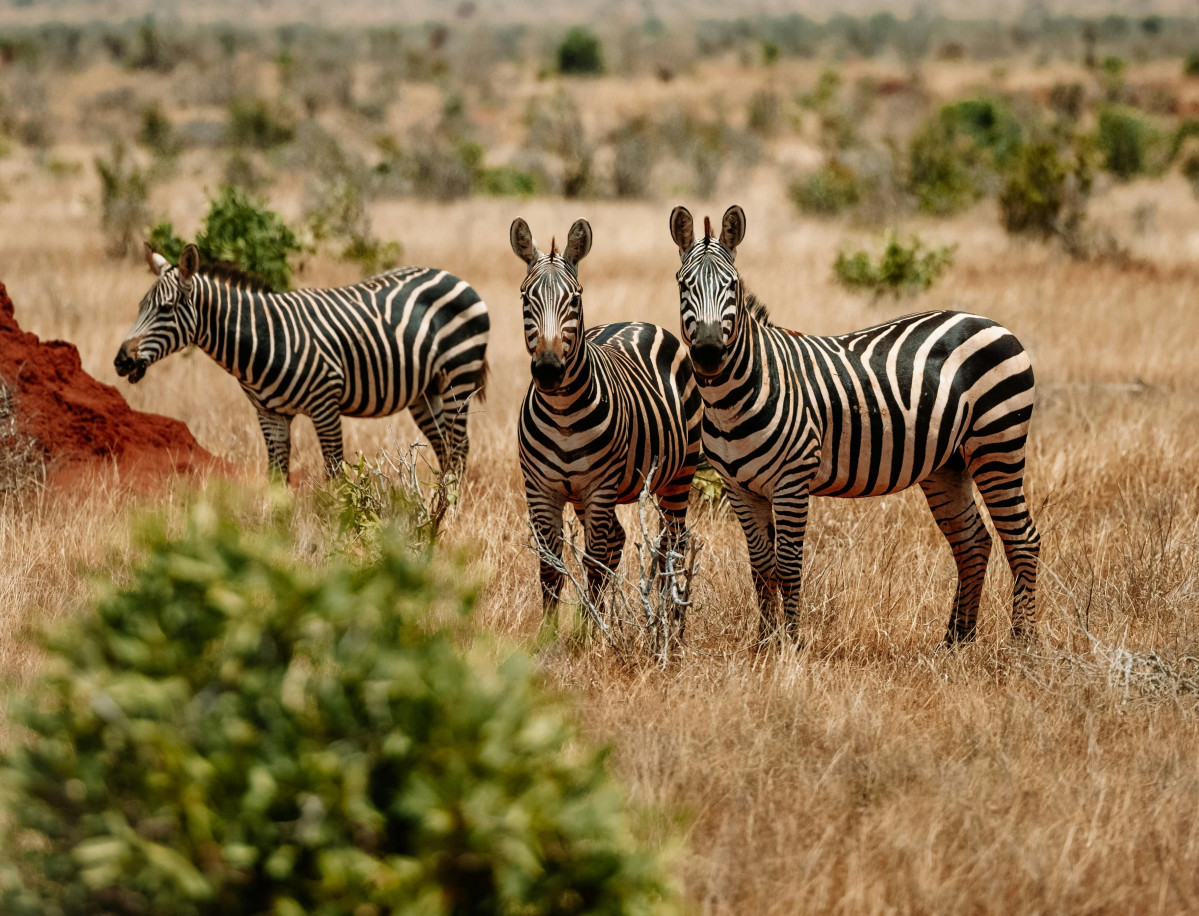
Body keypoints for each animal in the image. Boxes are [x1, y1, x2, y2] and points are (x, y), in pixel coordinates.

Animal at [112, 246, 486, 479]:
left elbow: (334, 472)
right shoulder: (269, 414)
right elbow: (276, 476)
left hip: (459, 377)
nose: (121, 361)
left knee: (460, 446)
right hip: (425, 390)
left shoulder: (325, 405)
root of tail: (453, 276)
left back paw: (450, 510)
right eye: (141, 306)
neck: (263, 340)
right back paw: (438, 502)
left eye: (166, 308)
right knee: (444, 446)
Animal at [513, 218, 700, 628]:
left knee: (671, 545)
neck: (563, 413)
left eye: (575, 299)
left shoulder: (599, 487)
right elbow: (550, 568)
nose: (548, 370)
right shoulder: (540, 489)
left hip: (679, 476)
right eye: (525, 298)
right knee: (617, 539)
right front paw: (551, 634)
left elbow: (593, 564)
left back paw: (669, 619)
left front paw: (589, 634)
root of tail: (637, 322)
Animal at [671, 206, 1035, 652]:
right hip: (948, 464)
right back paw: (956, 640)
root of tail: (993, 323)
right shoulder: (738, 487)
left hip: (998, 445)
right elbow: (760, 566)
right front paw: (764, 643)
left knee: (1022, 540)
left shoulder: (792, 480)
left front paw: (792, 644)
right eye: (683, 284)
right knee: (973, 542)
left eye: (733, 285)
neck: (731, 398)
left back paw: (1022, 642)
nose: (708, 353)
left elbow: (788, 564)